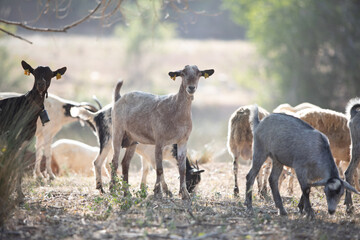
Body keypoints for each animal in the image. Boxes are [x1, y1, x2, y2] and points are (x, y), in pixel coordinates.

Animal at [0, 59, 66, 201]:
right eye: (34, 73)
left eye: (50, 74)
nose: (41, 84)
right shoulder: (11, 140)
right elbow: (9, 163)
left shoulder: (24, 141)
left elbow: (18, 166)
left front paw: (20, 194)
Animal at [111, 65, 214, 199]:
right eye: (182, 73)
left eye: (199, 74)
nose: (191, 88)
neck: (175, 109)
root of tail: (118, 98)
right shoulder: (159, 141)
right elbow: (159, 169)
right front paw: (158, 192)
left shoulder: (183, 141)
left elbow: (181, 169)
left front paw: (185, 194)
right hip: (117, 132)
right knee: (114, 161)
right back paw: (112, 191)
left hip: (132, 140)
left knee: (125, 163)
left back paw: (126, 192)